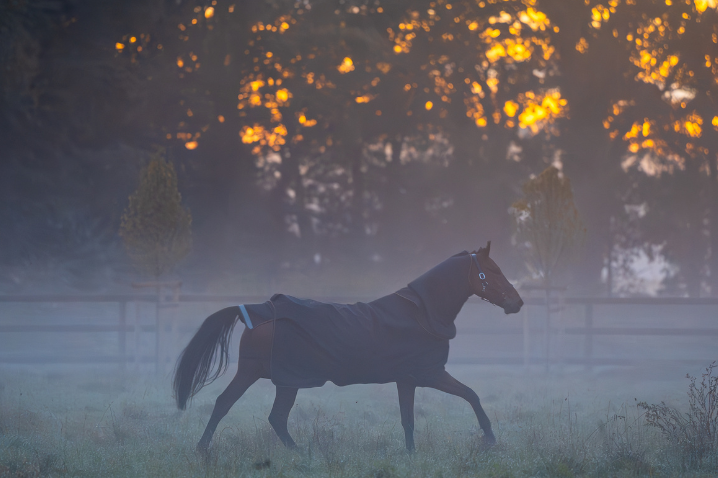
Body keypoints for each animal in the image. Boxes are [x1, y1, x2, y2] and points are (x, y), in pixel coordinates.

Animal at [174, 243, 524, 456]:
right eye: (492, 271)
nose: (517, 302)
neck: (422, 314)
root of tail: (259, 311)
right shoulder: (430, 373)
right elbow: (472, 395)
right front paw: (490, 438)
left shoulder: (407, 379)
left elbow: (408, 419)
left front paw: (411, 454)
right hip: (281, 378)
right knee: (269, 415)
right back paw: (299, 454)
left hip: (258, 373)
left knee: (228, 404)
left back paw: (205, 450)